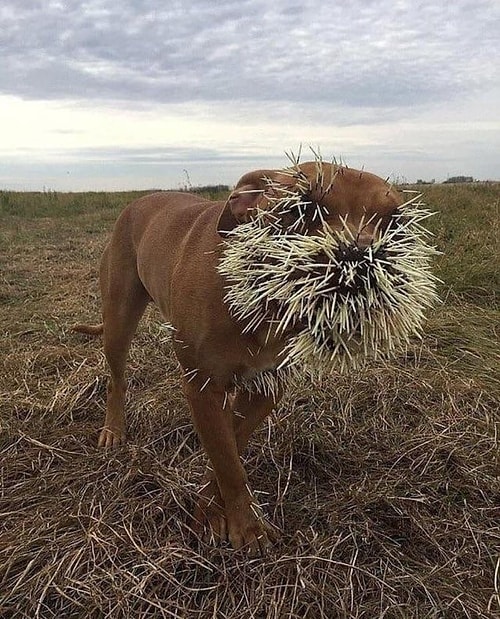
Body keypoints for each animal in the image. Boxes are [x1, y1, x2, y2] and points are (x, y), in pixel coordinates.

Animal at [75, 162, 402, 556]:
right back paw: (113, 429)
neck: (263, 302)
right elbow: (228, 461)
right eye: (302, 208)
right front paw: (247, 527)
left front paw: (212, 510)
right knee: (117, 378)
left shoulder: (266, 388)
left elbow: (230, 446)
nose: (361, 260)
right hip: (118, 319)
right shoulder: (203, 385)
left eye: (395, 222)